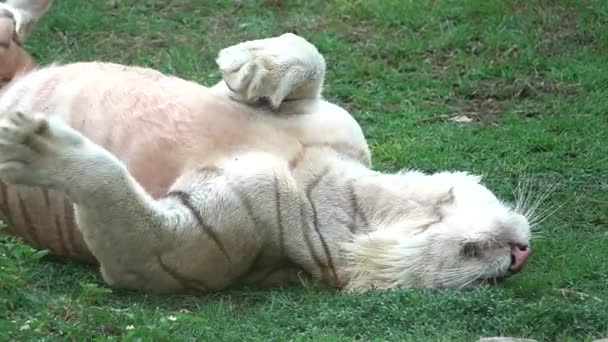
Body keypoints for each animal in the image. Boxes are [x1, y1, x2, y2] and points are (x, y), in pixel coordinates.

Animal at [0, 0, 528, 294]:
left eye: (487, 280)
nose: (520, 257)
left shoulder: (154, 255)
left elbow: (110, 185)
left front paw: (28, 143)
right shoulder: (326, 115)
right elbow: (307, 50)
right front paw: (250, 64)